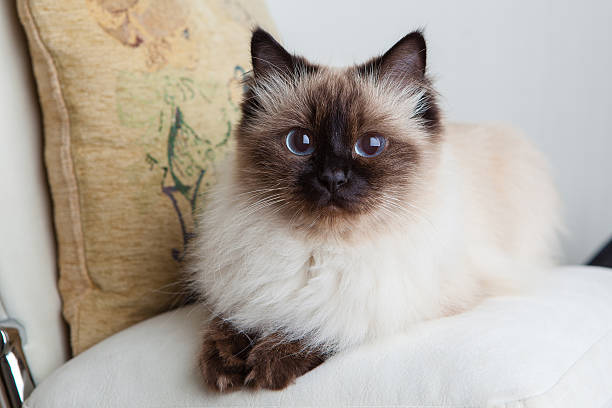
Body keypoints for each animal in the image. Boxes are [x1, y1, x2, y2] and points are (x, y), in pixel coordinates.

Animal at [188, 27, 564, 390]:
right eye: (300, 143)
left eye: (370, 145)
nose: (333, 178)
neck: (320, 250)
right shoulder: (246, 286)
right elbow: (230, 319)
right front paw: (223, 364)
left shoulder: (401, 302)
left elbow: (324, 323)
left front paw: (269, 361)